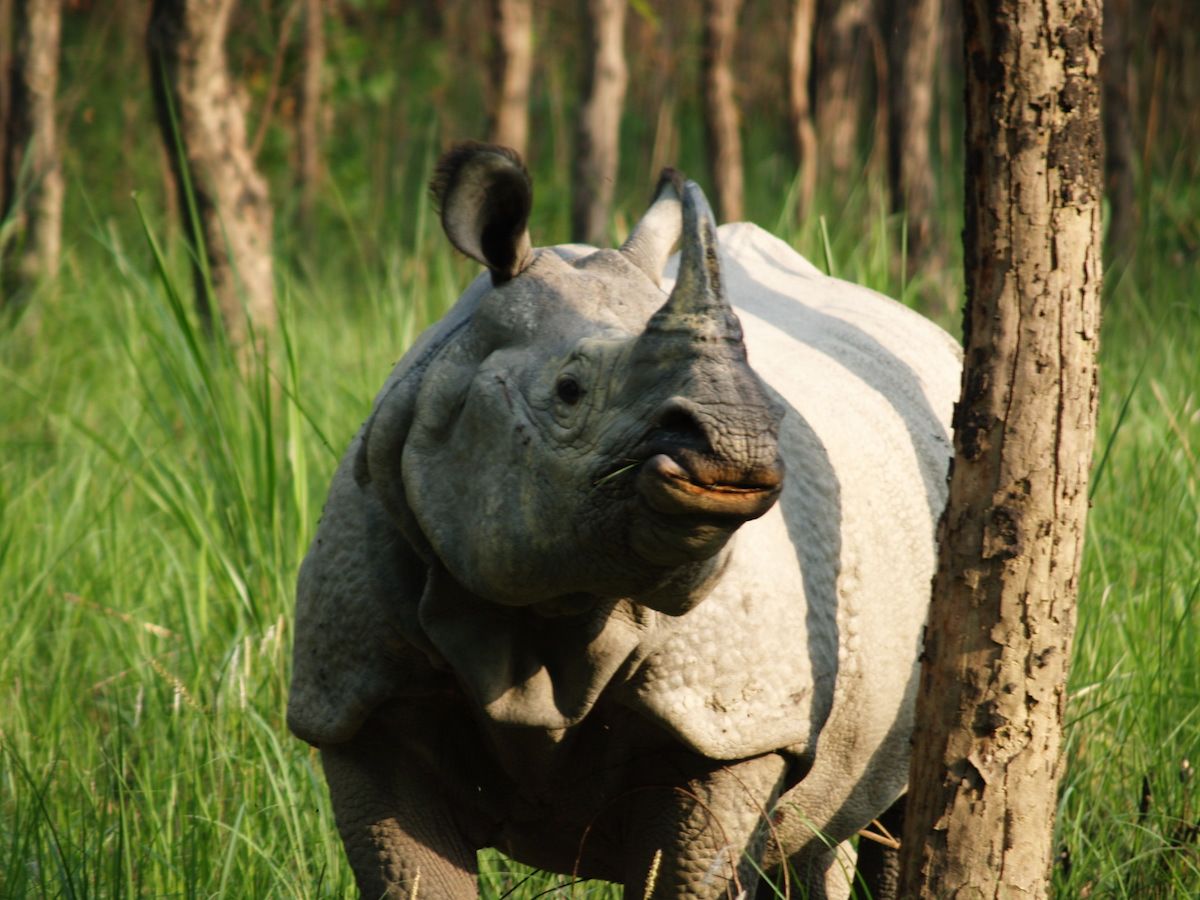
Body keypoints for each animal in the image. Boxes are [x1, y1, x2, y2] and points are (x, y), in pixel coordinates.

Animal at [287, 143, 961, 899]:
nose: (738, 444)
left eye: (772, 401)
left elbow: (694, 867)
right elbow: (411, 874)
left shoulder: (732, 725)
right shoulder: (355, 699)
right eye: (568, 390)